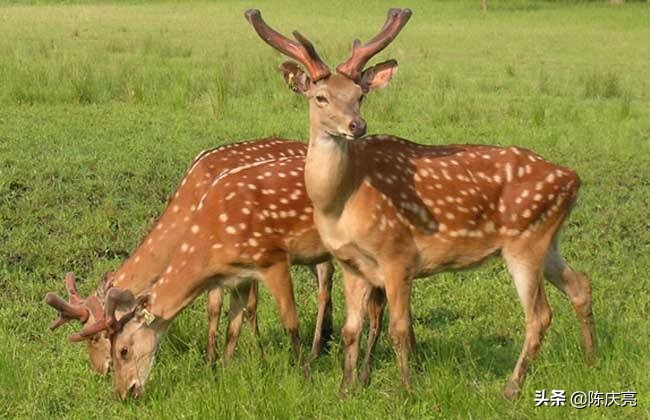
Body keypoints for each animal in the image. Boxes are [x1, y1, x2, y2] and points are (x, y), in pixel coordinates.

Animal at [44, 139, 334, 378]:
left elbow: (242, 306)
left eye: (96, 337)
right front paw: (212, 360)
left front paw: (254, 357)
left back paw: (316, 350)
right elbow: (219, 308)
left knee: (325, 284)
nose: (98, 371)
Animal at [246, 8, 596, 398]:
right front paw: (345, 389)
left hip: (526, 241)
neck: (341, 203)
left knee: (539, 315)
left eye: (359, 95)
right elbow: (352, 330)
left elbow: (399, 328)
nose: (357, 125)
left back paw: (511, 387)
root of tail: (572, 178)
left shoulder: (397, 253)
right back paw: (591, 361)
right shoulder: (352, 263)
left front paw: (407, 389)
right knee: (580, 285)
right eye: (320, 97)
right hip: (548, 240)